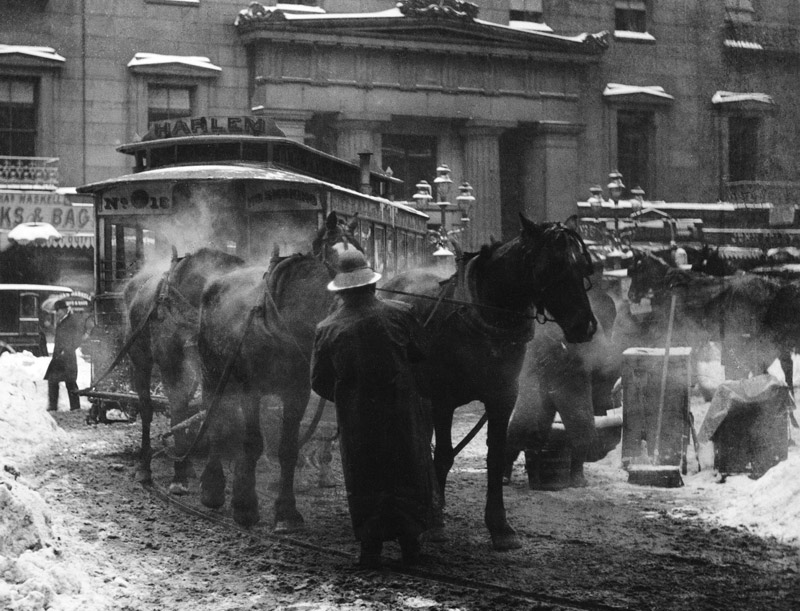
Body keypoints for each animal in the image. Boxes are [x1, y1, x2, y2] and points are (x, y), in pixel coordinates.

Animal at [122, 247, 245, 492]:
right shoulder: (171, 363)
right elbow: (177, 409)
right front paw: (178, 477)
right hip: (140, 360)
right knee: (147, 408)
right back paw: (145, 466)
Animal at [195, 210, 358, 532]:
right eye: (338, 258)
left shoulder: (297, 392)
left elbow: (288, 449)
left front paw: (286, 512)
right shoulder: (251, 390)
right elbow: (252, 443)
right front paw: (245, 506)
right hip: (213, 375)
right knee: (216, 421)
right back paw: (213, 487)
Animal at [380, 214, 592, 548]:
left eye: (583, 265)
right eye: (552, 266)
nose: (585, 325)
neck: (483, 317)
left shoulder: (502, 398)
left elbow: (495, 455)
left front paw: (499, 526)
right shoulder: (443, 399)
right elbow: (443, 456)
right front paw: (436, 522)